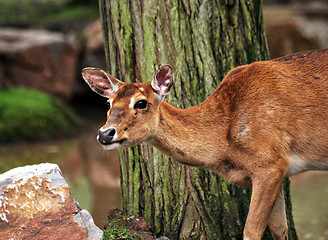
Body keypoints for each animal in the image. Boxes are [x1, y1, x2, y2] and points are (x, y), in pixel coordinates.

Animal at [82, 48, 328, 240]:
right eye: (109, 103)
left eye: (141, 103)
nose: (105, 134)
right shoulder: (275, 168)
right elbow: (279, 229)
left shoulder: (270, 162)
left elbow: (251, 231)